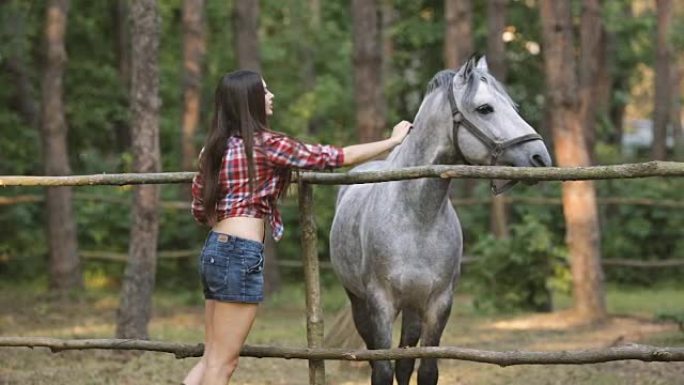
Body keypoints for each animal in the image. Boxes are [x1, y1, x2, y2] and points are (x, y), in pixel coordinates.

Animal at [328, 54, 552, 384]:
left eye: (513, 105)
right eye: (485, 108)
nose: (540, 157)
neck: (417, 219)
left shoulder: (439, 303)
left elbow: (426, 370)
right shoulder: (380, 303)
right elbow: (382, 370)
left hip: (412, 306)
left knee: (405, 362)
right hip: (359, 303)